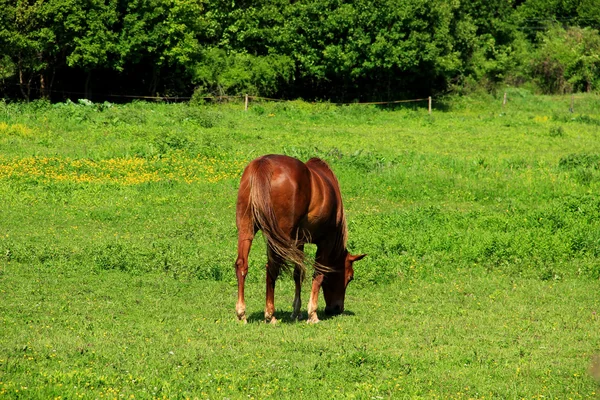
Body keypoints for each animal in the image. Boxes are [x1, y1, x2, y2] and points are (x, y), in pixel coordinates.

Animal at [234, 155, 366, 324]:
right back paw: (270, 315)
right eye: (350, 277)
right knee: (272, 268)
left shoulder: (299, 242)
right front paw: (312, 314)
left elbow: (298, 273)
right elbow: (318, 275)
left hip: (247, 229)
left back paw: (241, 314)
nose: (336, 309)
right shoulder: (326, 242)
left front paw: (296, 311)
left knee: (242, 265)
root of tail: (264, 164)